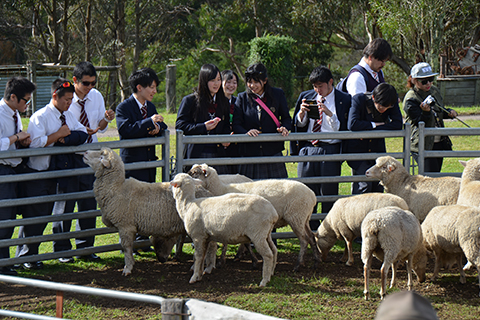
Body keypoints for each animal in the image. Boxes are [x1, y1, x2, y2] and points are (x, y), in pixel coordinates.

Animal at [83, 148, 218, 276]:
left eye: (101, 155)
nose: (84, 152)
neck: (116, 188)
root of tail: (207, 192)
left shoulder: (125, 226)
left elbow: (126, 247)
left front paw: (127, 268)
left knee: (211, 246)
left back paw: (208, 267)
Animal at [189, 162, 320, 270]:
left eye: (195, 173)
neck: (220, 189)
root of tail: (312, 195)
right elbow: (241, 242)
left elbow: (230, 242)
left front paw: (224, 261)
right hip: (304, 218)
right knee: (311, 237)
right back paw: (316, 261)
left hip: (295, 217)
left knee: (304, 240)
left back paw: (298, 265)